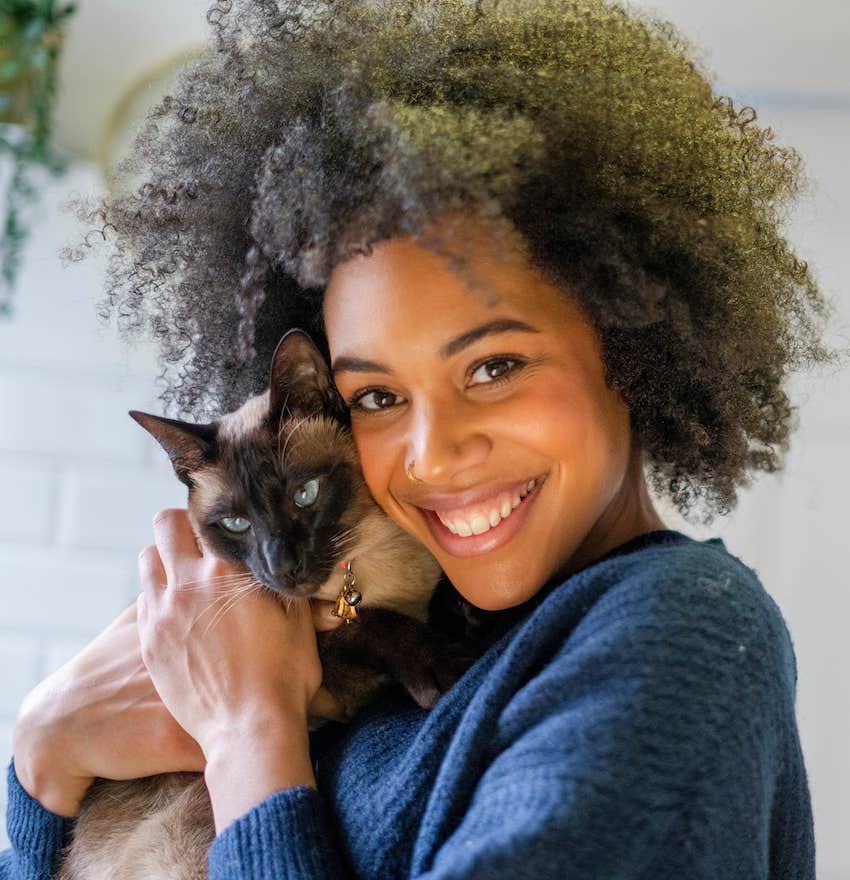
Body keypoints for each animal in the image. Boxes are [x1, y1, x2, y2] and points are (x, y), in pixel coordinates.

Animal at [55, 330, 474, 880]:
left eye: (305, 494)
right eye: (236, 524)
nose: (284, 567)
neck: (376, 563)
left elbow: (439, 596)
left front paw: (470, 614)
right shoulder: (336, 676)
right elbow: (374, 624)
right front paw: (444, 664)